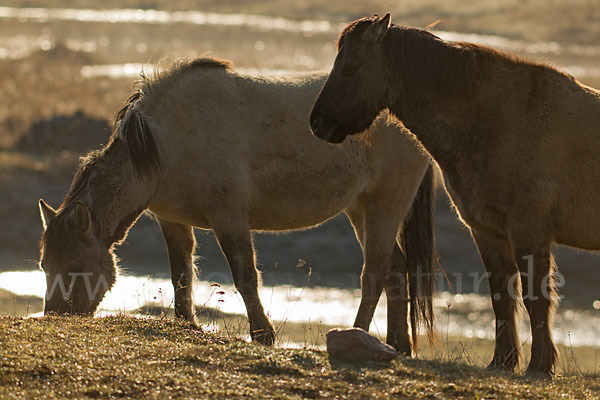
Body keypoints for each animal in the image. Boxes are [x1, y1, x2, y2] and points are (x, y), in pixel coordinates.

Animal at [41, 57, 436, 354]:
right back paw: (397, 345)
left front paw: (263, 334)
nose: (56, 315)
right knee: (397, 269)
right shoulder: (173, 221)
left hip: (385, 203)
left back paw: (356, 336)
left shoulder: (228, 218)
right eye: (45, 265)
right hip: (361, 208)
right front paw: (187, 323)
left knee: (375, 272)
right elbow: (180, 273)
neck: (169, 141)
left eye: (75, 263)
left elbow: (244, 275)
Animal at [310, 12, 600, 376]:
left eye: (350, 67)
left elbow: (536, 298)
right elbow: (502, 296)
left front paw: (540, 366)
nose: (317, 123)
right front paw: (503, 362)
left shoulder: (529, 232)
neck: (498, 120)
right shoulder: (487, 232)